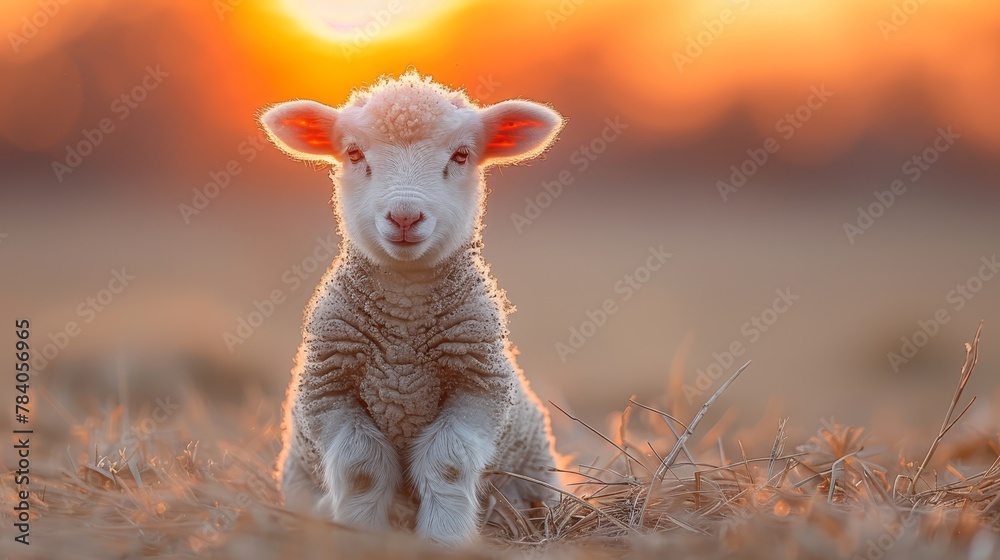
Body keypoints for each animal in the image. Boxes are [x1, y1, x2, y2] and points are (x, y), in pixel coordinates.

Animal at [258, 72, 565, 544]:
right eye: (353, 153)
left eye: (461, 154)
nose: (404, 217)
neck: (404, 324)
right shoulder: (328, 390)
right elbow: (362, 469)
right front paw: (359, 534)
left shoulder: (479, 388)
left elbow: (448, 465)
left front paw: (444, 538)